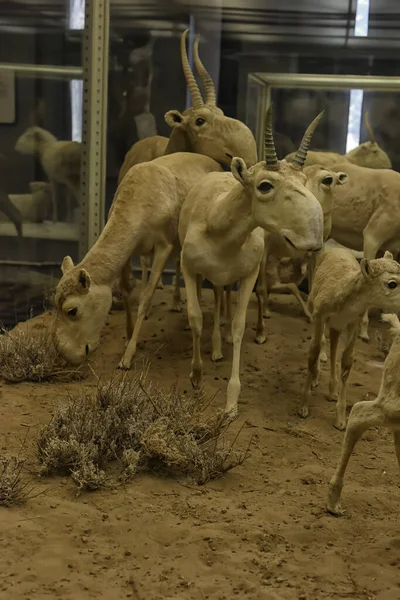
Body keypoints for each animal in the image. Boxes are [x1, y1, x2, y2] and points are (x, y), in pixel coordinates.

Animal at [178, 105, 324, 420]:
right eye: (265, 185)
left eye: (304, 182)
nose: (315, 234)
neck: (218, 228)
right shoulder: (188, 268)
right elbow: (195, 318)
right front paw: (195, 376)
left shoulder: (248, 276)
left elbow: (238, 326)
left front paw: (231, 403)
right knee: (213, 299)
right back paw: (215, 347)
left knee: (225, 298)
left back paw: (224, 343)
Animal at [300, 247, 400, 432]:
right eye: (392, 283)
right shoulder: (319, 316)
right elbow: (313, 351)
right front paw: (303, 407)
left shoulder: (353, 322)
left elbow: (346, 362)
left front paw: (340, 420)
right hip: (317, 312)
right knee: (322, 344)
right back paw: (316, 378)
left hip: (337, 326)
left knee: (333, 345)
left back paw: (332, 391)